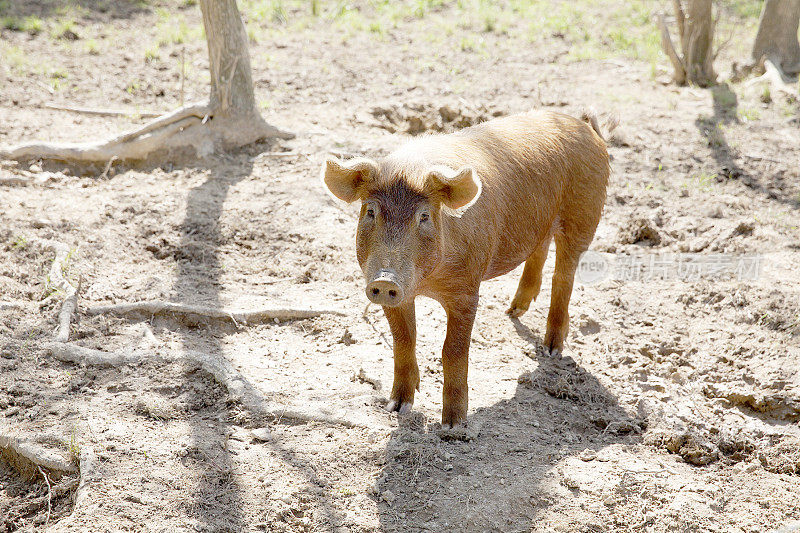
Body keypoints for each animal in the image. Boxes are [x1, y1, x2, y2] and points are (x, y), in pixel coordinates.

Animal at [322, 109, 608, 428]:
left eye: (424, 216)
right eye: (371, 211)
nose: (386, 280)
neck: (427, 284)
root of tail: (583, 125)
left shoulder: (467, 290)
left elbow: (453, 350)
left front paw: (453, 425)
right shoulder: (395, 295)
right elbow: (404, 340)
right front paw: (397, 408)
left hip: (583, 215)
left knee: (564, 274)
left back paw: (552, 350)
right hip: (541, 223)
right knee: (539, 250)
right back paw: (513, 312)